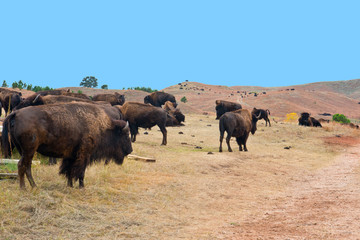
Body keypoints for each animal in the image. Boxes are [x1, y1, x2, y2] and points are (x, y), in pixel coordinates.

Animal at [2, 102, 131, 188]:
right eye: (125, 135)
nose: (130, 150)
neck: (103, 126)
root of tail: (16, 113)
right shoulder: (84, 155)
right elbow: (80, 172)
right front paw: (81, 187)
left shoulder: (71, 155)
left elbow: (69, 170)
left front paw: (70, 185)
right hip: (29, 150)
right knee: (22, 165)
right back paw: (24, 188)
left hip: (25, 151)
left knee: (26, 166)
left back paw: (34, 186)